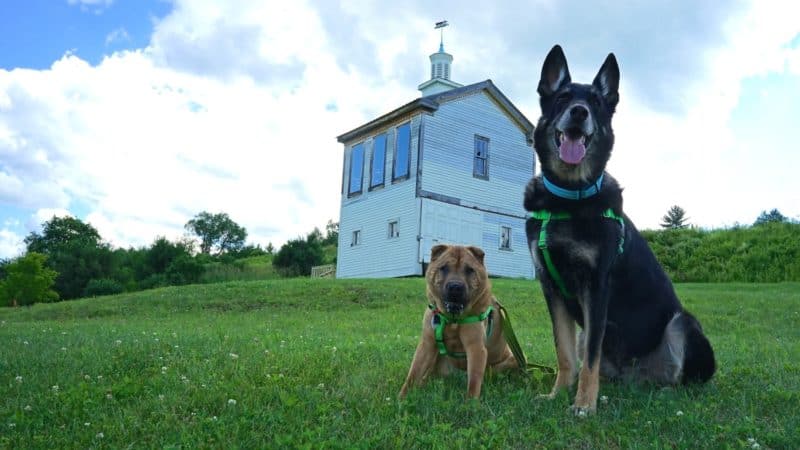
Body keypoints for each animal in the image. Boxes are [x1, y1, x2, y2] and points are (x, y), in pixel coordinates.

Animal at [400, 244, 520, 400]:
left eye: (469, 270)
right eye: (444, 268)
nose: (455, 287)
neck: (453, 319)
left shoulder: (476, 348)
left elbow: (474, 380)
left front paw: (470, 403)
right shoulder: (427, 344)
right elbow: (413, 373)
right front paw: (401, 398)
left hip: (514, 360)